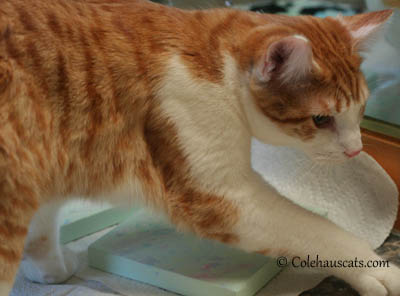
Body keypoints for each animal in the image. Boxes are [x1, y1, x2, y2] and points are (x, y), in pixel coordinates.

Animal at [0, 1, 400, 294]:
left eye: (361, 108)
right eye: (320, 119)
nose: (355, 150)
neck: (218, 64)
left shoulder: (48, 164)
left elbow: (41, 228)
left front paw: (50, 270)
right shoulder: (221, 197)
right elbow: (317, 230)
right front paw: (374, 268)